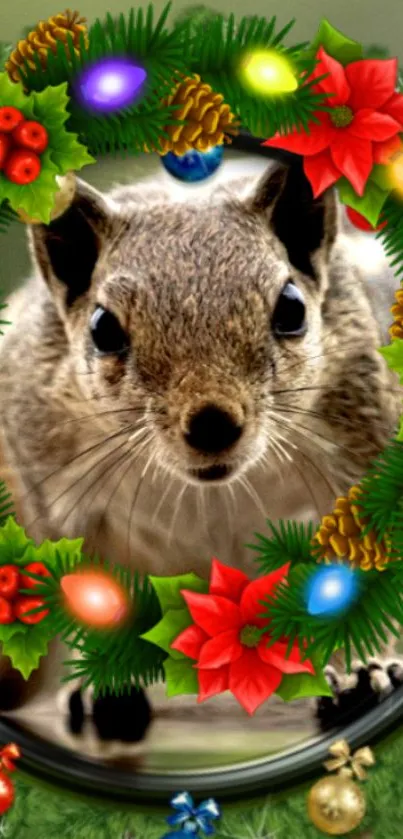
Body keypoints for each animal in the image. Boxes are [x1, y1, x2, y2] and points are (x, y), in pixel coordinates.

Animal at [0, 159, 402, 748]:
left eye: (291, 308)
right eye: (102, 328)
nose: (213, 424)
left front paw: (364, 667)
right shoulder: (52, 488)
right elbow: (85, 589)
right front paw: (106, 677)